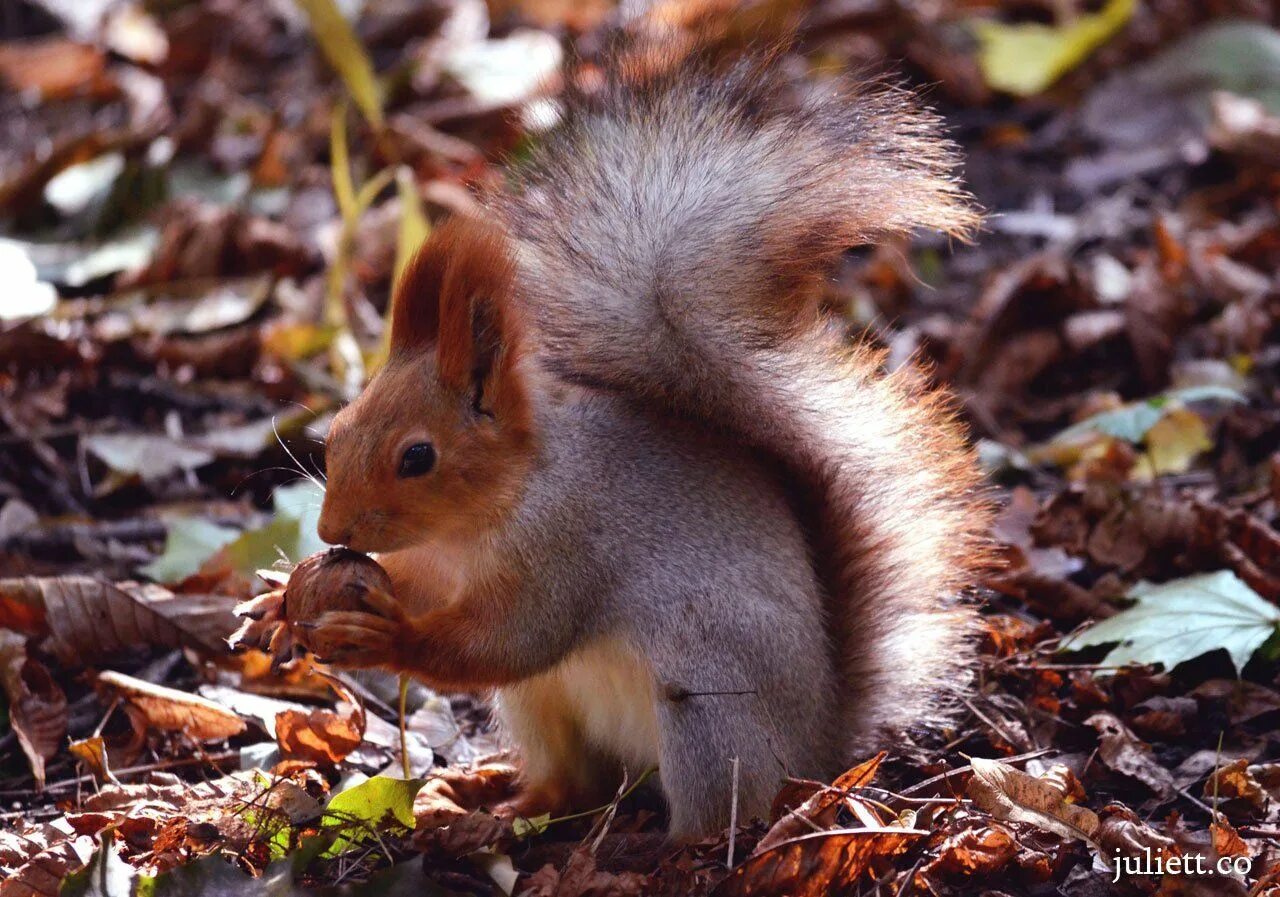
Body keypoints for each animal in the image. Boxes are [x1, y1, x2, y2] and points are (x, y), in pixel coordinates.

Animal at [267, 50, 988, 839]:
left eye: (417, 457)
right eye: (337, 431)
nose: (331, 530)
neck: (494, 506)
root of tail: (819, 744)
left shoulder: (566, 546)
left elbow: (511, 640)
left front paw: (385, 638)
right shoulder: (437, 564)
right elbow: (426, 593)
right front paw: (280, 594)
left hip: (706, 706)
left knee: (719, 811)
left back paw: (661, 846)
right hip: (541, 705)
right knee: (572, 782)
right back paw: (491, 800)